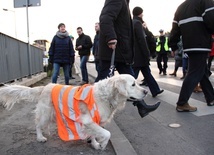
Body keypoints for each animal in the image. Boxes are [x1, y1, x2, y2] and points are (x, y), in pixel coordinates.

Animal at [0, 74, 148, 150]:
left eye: (137, 83)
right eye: (133, 84)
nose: (146, 91)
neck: (106, 96)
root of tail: (46, 86)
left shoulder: (93, 121)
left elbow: (94, 133)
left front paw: (94, 144)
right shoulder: (88, 120)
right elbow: (107, 133)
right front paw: (103, 144)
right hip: (45, 113)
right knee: (37, 125)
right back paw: (40, 137)